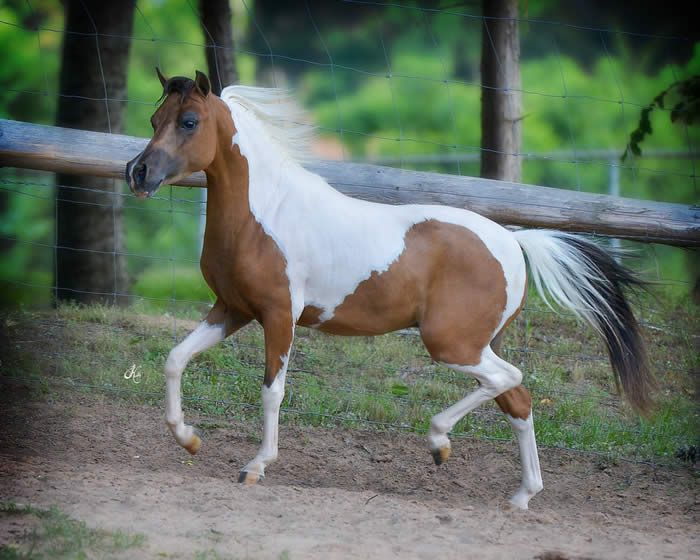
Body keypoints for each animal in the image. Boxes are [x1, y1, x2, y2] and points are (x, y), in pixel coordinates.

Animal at [123, 70, 652, 508]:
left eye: (189, 121)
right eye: (154, 118)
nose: (138, 173)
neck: (265, 214)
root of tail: (514, 242)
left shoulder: (278, 316)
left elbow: (272, 391)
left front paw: (255, 467)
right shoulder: (231, 309)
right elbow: (175, 359)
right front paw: (189, 438)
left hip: (450, 342)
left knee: (510, 379)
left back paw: (440, 444)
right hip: (477, 344)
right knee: (516, 397)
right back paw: (520, 495)